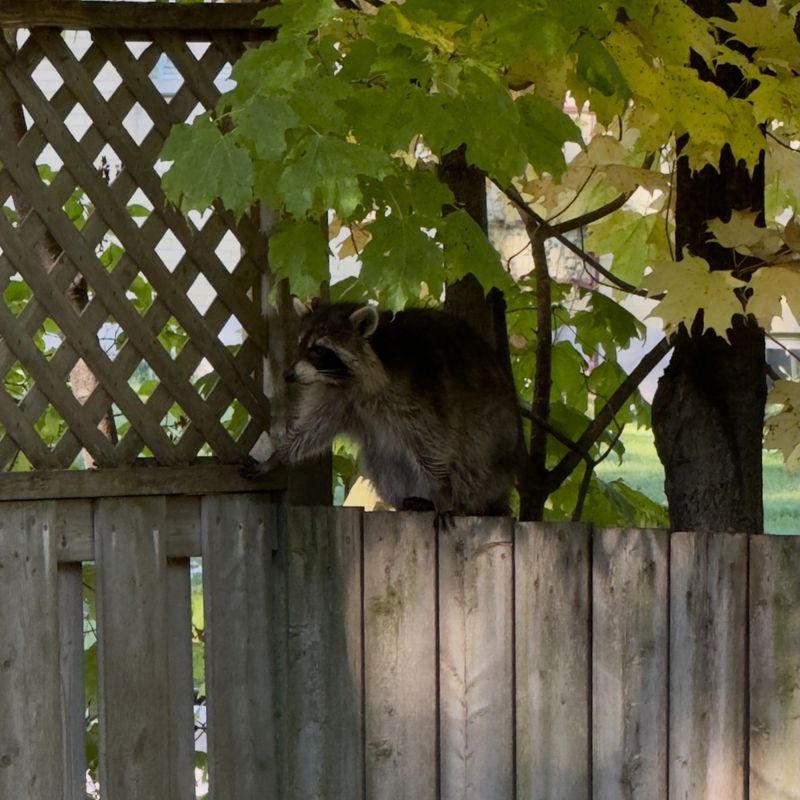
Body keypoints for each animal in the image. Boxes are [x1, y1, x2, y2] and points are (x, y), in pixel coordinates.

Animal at [250, 298, 523, 517]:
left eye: (319, 349)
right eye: (300, 344)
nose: (288, 375)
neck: (346, 381)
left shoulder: (416, 394)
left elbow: (431, 442)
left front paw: (441, 489)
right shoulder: (335, 398)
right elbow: (312, 430)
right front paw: (279, 456)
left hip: (490, 453)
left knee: (470, 459)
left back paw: (457, 501)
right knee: (380, 460)